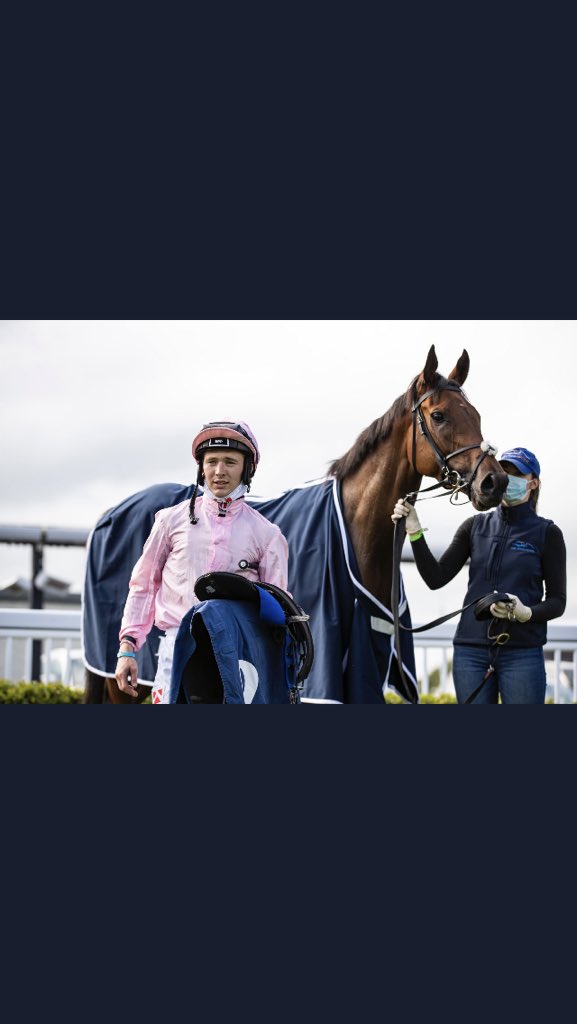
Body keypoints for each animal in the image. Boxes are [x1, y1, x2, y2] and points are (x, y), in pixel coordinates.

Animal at [81, 344, 506, 704]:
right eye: (439, 416)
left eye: (477, 416)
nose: (494, 482)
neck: (356, 532)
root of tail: (111, 515)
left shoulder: (365, 665)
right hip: (127, 682)